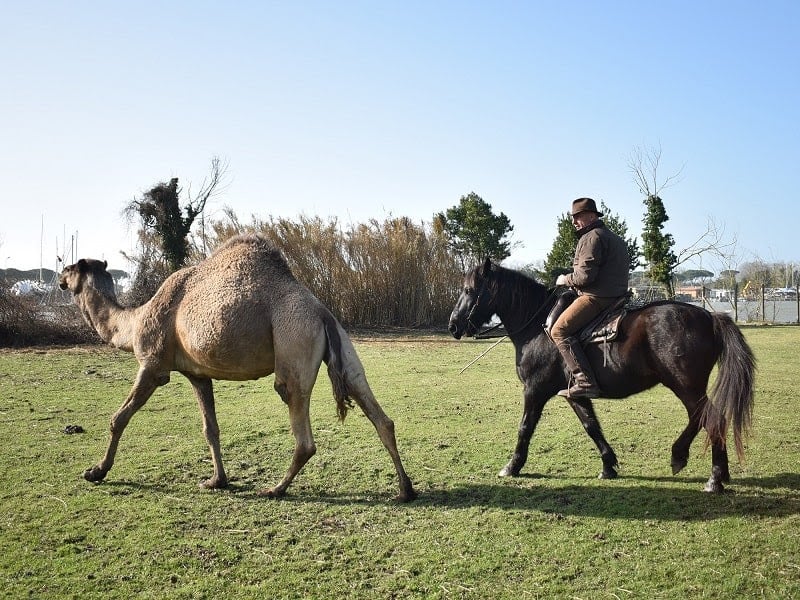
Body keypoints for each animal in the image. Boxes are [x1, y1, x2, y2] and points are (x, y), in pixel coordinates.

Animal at [59, 234, 416, 502]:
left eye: (70, 268)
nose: (60, 279)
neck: (133, 323)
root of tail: (321, 312)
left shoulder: (153, 364)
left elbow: (118, 418)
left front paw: (96, 472)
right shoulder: (198, 375)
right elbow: (210, 428)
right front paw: (216, 480)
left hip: (293, 339)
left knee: (302, 429)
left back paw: (274, 489)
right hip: (344, 348)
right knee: (379, 415)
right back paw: (405, 490)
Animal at [450, 258, 756, 492]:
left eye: (468, 289)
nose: (453, 325)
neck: (537, 326)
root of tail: (710, 317)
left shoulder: (534, 390)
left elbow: (525, 427)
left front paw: (512, 466)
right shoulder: (573, 393)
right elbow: (591, 426)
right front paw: (608, 465)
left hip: (685, 386)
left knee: (709, 418)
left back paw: (702, 470)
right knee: (708, 418)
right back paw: (716, 471)